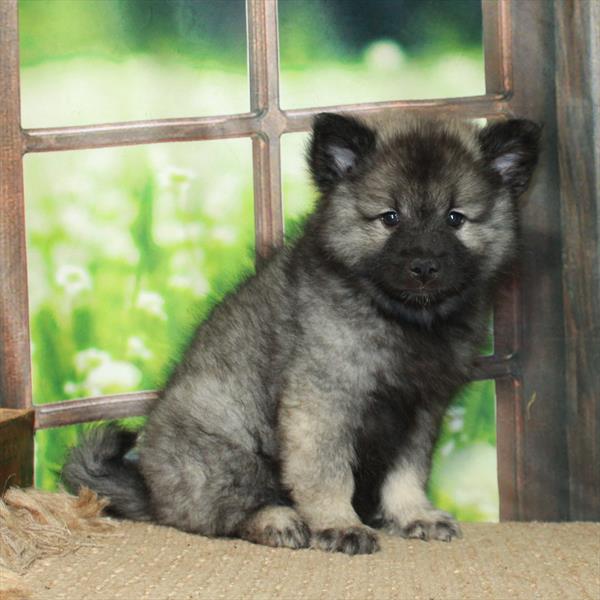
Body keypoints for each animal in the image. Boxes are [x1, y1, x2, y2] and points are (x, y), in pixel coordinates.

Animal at [63, 112, 540, 552]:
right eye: (390, 217)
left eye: (455, 218)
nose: (423, 268)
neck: (399, 317)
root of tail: (149, 491)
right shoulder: (323, 402)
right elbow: (326, 474)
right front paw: (339, 524)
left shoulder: (420, 410)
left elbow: (407, 472)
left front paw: (413, 515)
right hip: (228, 453)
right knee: (223, 513)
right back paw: (278, 521)